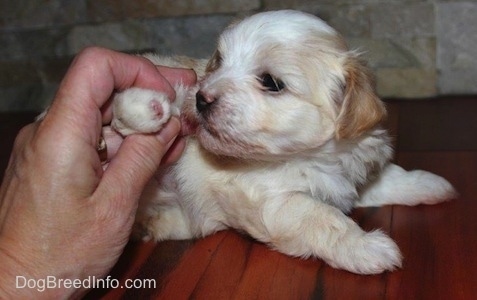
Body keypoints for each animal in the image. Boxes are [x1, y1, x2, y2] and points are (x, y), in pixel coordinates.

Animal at [109, 10, 456, 276]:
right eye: (219, 63)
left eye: (271, 82)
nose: (201, 99)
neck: (310, 156)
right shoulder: (272, 200)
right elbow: (322, 216)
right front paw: (366, 247)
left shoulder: (350, 170)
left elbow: (386, 179)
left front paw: (429, 185)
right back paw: (144, 106)